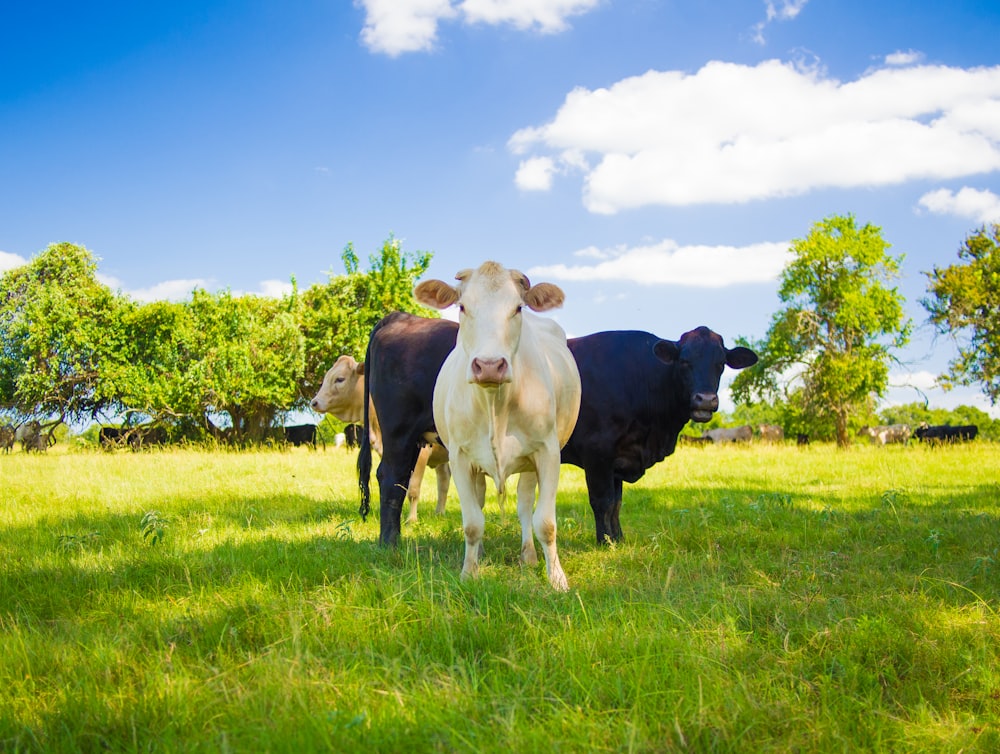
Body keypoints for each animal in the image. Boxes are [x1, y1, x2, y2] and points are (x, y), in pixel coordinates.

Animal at [308, 354, 450, 520]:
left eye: (340, 379)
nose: (314, 402)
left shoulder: (421, 453)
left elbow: (413, 489)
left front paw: (411, 520)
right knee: (444, 480)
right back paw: (439, 513)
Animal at [414, 262, 584, 592]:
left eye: (517, 307)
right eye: (463, 306)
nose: (490, 365)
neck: (495, 404)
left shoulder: (548, 453)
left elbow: (545, 522)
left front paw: (557, 578)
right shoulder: (459, 457)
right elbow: (472, 523)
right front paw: (469, 573)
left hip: (530, 463)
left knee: (525, 505)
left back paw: (528, 555)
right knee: (481, 502)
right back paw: (480, 553)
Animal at [564, 326, 756, 544]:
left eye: (721, 363)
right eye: (684, 361)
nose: (706, 400)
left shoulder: (619, 458)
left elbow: (616, 503)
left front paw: (619, 539)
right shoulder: (597, 450)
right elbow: (603, 501)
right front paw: (605, 542)